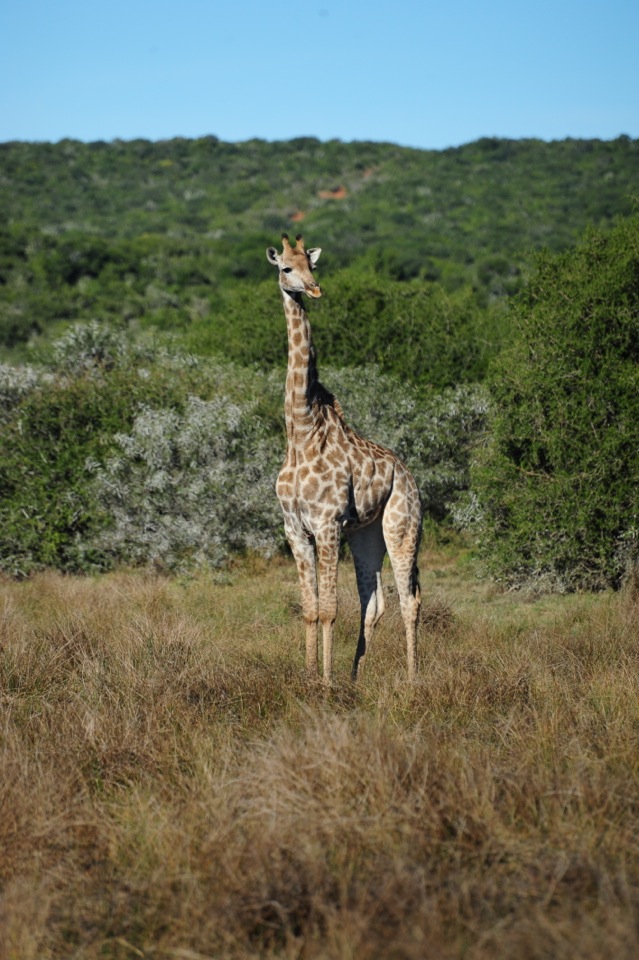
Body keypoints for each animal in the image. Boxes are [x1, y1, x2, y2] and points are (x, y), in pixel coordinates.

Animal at [266, 233, 423, 683]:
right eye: (286, 267)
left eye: (312, 265)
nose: (313, 289)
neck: (300, 431)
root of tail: (408, 475)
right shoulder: (295, 529)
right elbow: (309, 609)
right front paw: (309, 677)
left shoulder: (327, 524)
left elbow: (330, 610)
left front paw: (326, 682)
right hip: (366, 533)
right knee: (375, 602)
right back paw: (358, 676)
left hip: (402, 525)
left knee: (410, 600)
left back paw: (412, 679)